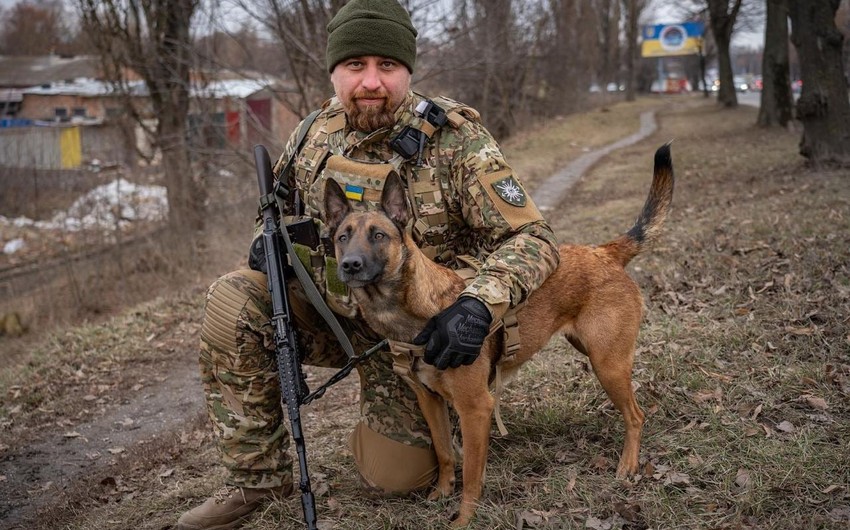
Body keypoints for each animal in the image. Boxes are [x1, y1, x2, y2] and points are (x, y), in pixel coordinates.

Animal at [322, 144, 672, 524]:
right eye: (343, 237)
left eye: (379, 235)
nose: (350, 265)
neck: (417, 312)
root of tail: (603, 251)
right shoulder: (430, 401)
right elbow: (445, 453)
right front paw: (441, 493)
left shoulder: (475, 408)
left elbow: (472, 475)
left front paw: (463, 519)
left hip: (607, 364)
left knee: (636, 416)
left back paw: (627, 466)